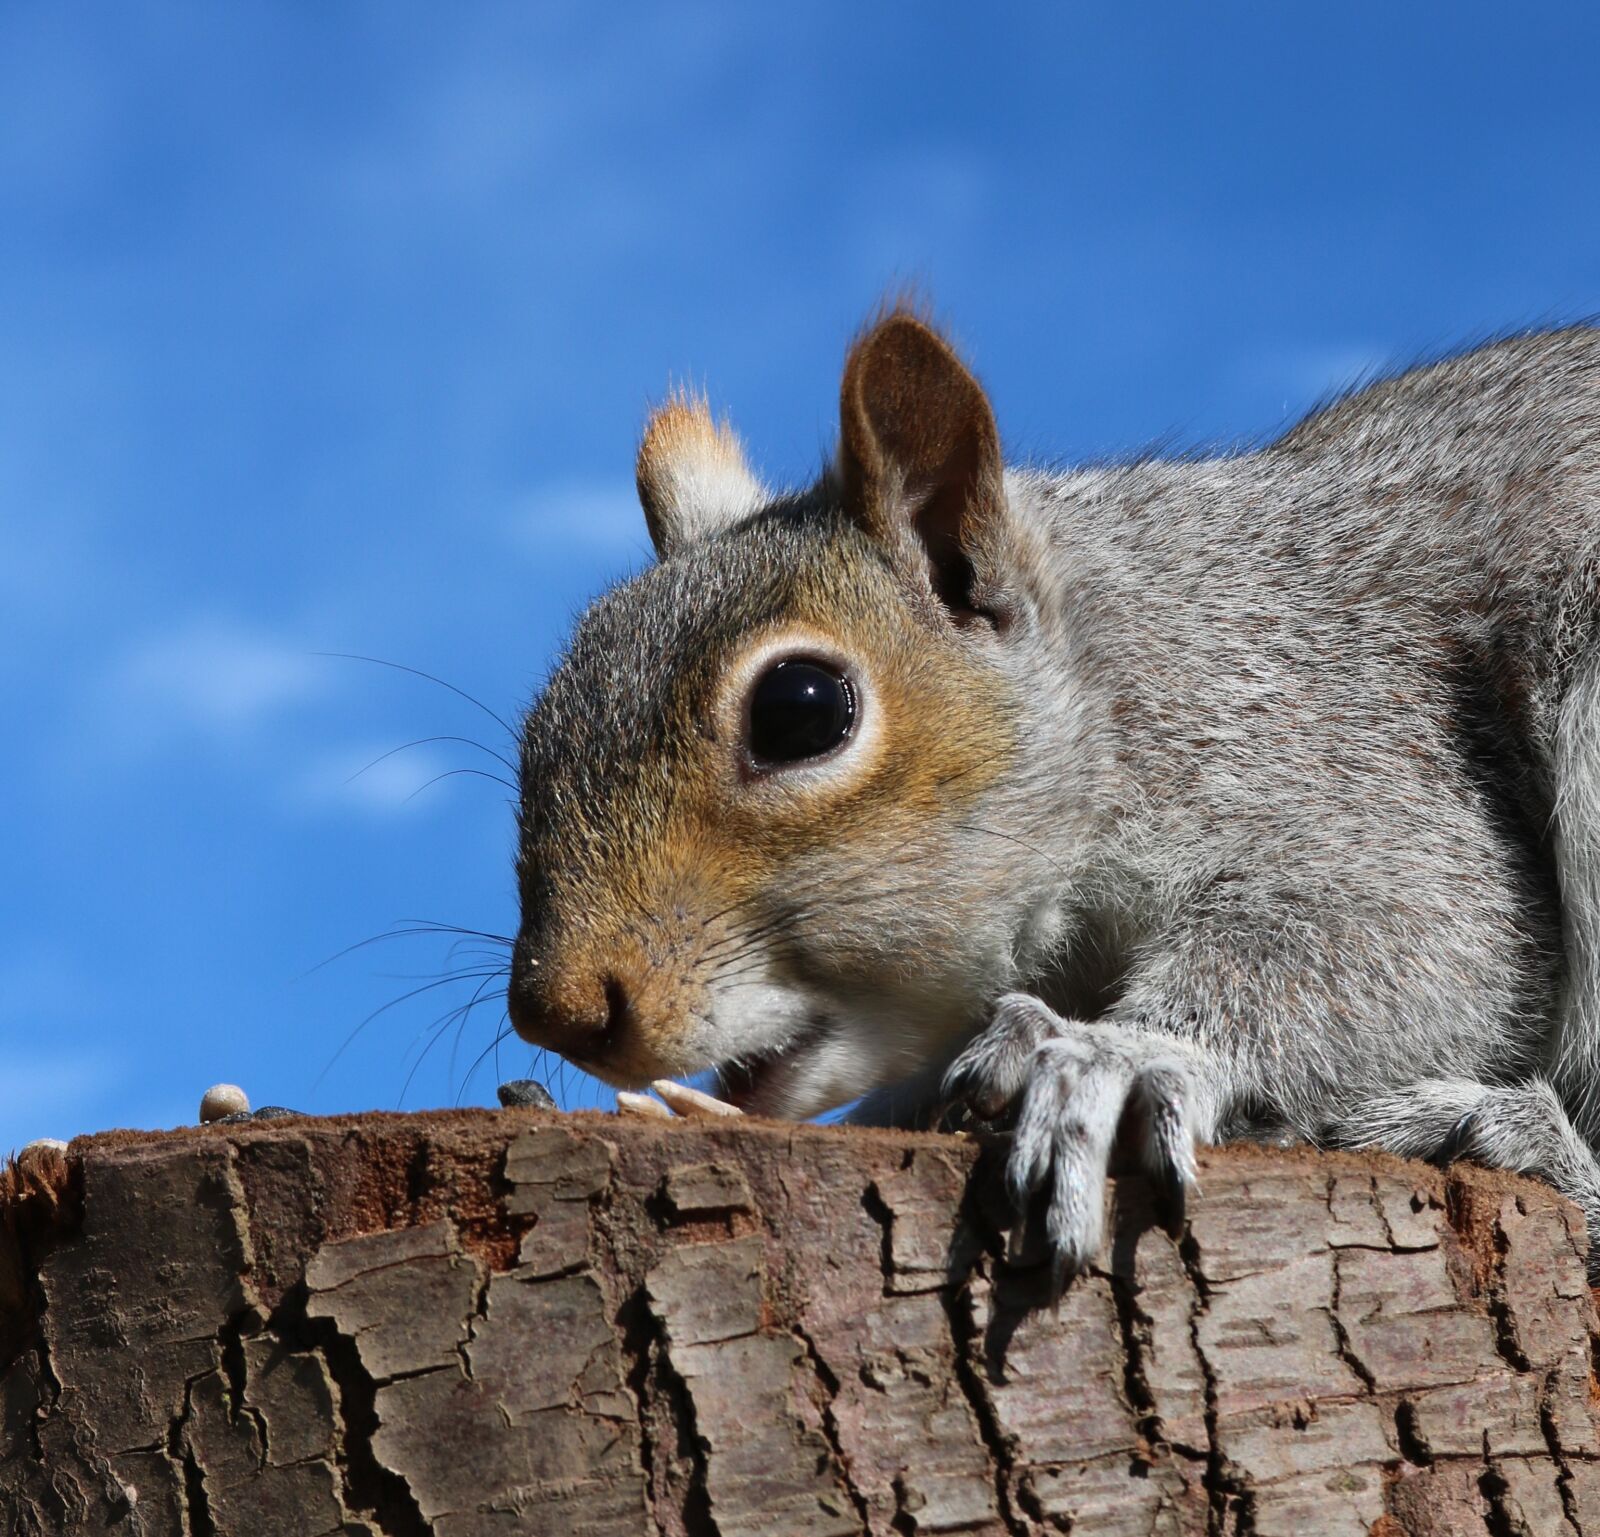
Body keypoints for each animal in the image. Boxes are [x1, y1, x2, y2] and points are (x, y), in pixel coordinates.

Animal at [505, 300, 1600, 1285]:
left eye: (800, 710)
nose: (557, 1013)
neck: (1117, 674)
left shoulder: (1351, 749)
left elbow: (1425, 937)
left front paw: (1110, 1060)